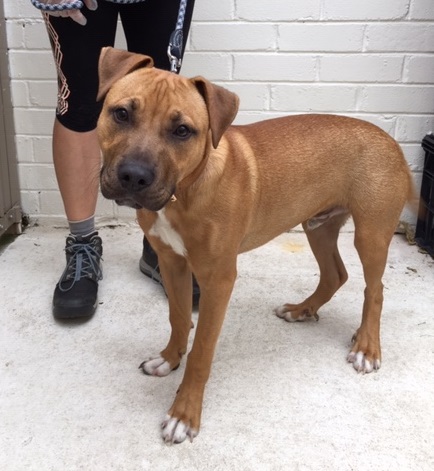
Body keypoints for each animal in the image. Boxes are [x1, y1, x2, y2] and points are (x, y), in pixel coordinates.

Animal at [97, 47, 415, 444]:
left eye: (183, 131)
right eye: (121, 113)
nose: (134, 176)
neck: (185, 191)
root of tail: (390, 139)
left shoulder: (218, 280)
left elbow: (202, 351)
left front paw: (184, 413)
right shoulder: (171, 262)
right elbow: (179, 316)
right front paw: (169, 358)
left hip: (371, 233)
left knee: (375, 289)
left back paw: (367, 347)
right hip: (317, 225)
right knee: (335, 275)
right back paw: (302, 310)